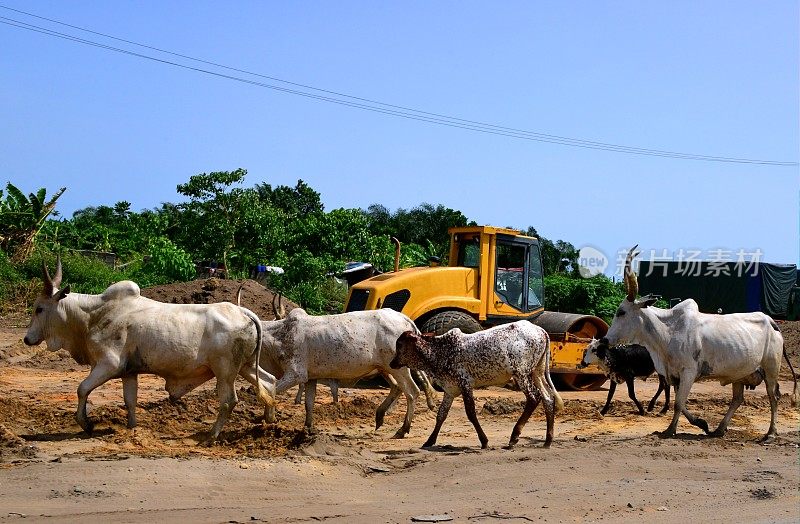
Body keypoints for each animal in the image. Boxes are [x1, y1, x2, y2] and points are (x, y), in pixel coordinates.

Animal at [262, 310, 424, 436]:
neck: (278, 335)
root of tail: (405, 318)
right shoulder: (310, 378)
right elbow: (309, 403)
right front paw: (308, 428)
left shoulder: (296, 374)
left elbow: (270, 390)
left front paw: (268, 418)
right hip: (386, 368)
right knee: (397, 387)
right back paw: (380, 416)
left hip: (399, 369)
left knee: (412, 392)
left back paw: (402, 429)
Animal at [390, 322, 560, 448]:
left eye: (400, 345)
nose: (392, 363)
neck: (441, 351)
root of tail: (541, 330)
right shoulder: (450, 390)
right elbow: (441, 415)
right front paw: (429, 441)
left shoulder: (465, 384)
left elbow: (471, 413)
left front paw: (484, 441)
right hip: (537, 372)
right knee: (547, 397)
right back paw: (547, 440)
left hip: (521, 374)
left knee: (533, 398)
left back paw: (514, 436)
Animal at [604, 247, 796, 442]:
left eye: (621, 312)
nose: (605, 339)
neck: (667, 332)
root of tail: (772, 322)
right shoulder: (675, 375)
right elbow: (679, 402)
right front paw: (701, 424)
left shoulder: (688, 371)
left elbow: (679, 403)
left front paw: (671, 429)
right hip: (739, 374)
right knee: (737, 399)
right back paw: (719, 429)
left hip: (771, 369)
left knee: (773, 397)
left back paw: (770, 433)